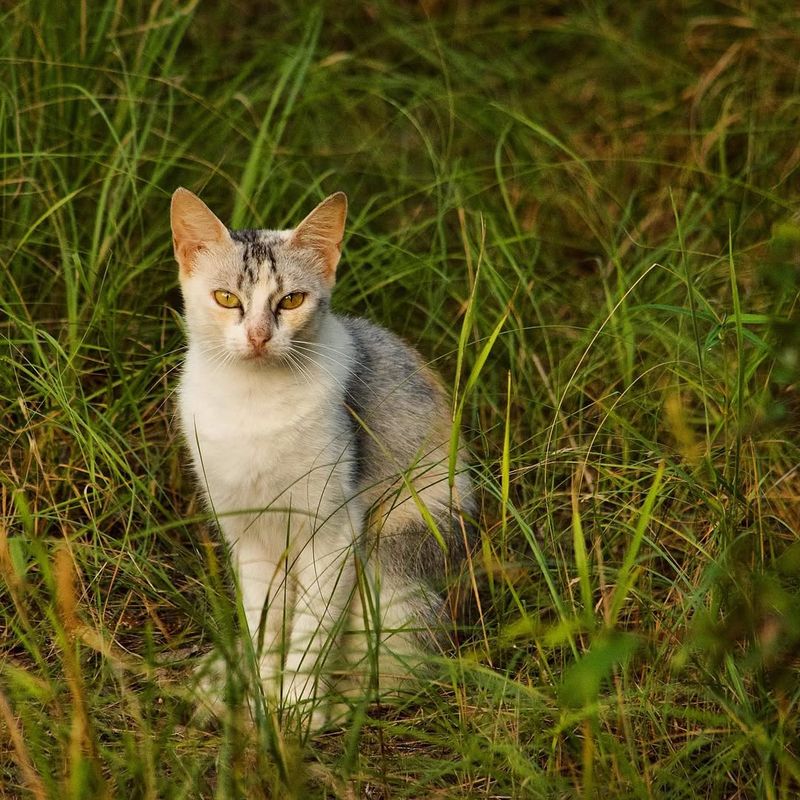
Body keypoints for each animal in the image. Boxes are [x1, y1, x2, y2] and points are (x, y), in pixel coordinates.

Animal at [172, 189, 476, 732]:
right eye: (227, 298)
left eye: (290, 300)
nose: (258, 336)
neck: (252, 402)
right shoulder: (249, 539)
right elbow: (265, 628)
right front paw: (261, 700)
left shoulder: (334, 531)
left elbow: (312, 632)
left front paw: (297, 711)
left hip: (392, 552)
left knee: (412, 665)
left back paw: (346, 702)